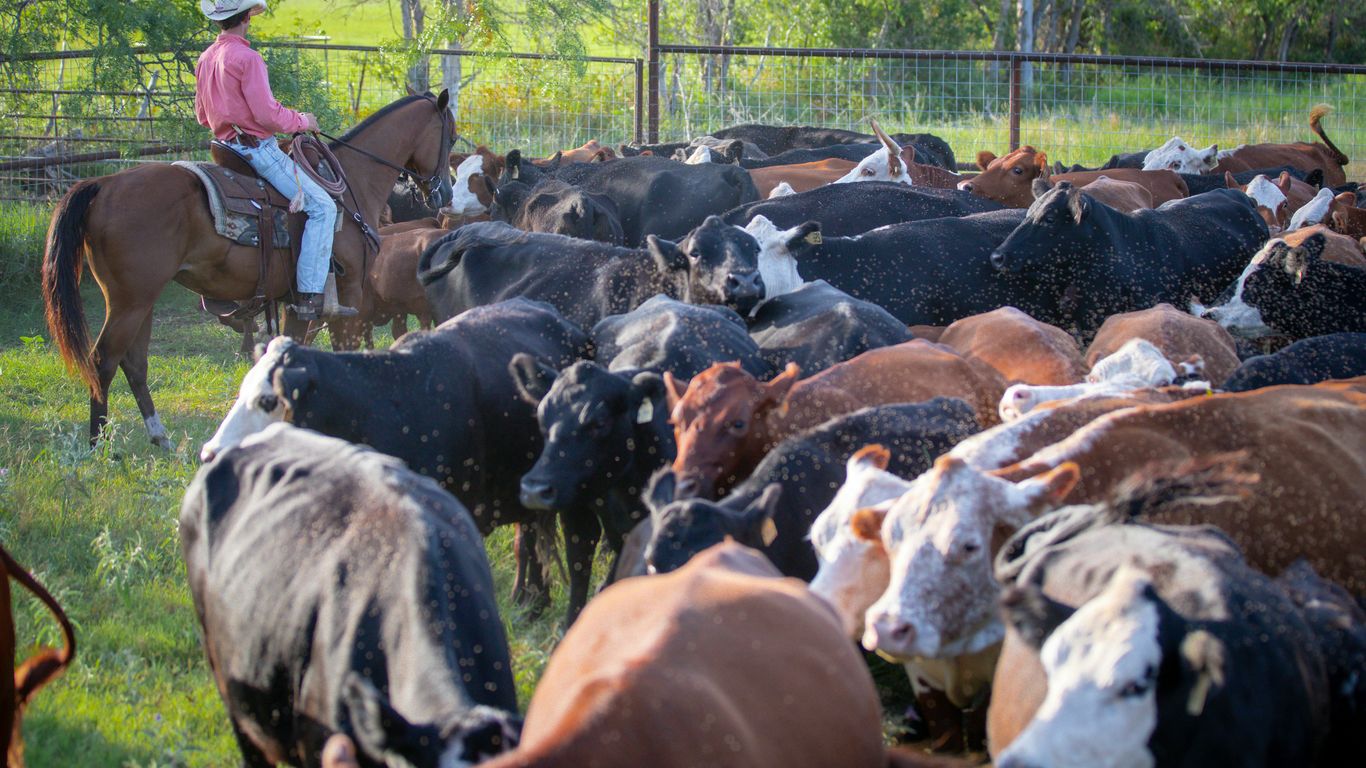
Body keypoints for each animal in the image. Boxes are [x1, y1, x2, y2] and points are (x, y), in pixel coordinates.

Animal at [42, 90, 455, 448]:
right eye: (450, 137)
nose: (444, 194)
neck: (353, 181)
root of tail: (102, 184)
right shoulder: (347, 297)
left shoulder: (296, 303)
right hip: (130, 301)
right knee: (103, 360)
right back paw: (98, 445)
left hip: (141, 301)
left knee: (134, 362)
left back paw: (159, 437)